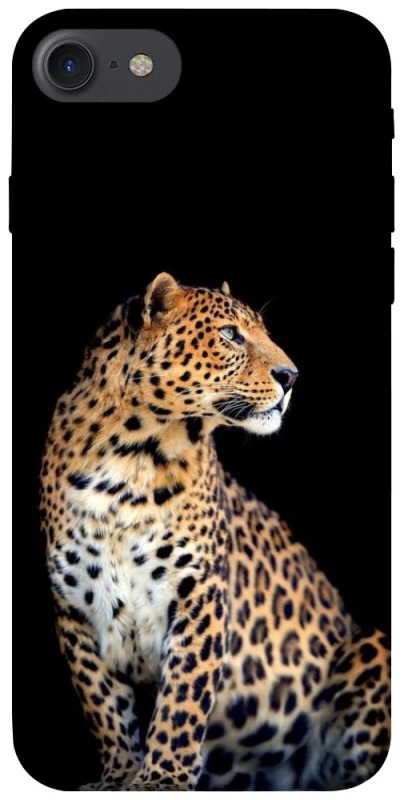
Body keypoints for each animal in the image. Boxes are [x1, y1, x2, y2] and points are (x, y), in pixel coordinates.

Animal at [40, 273, 391, 791]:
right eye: (230, 335)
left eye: (263, 332)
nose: (291, 376)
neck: (130, 459)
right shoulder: (74, 607)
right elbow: (103, 702)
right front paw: (119, 775)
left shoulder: (199, 593)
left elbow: (183, 698)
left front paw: (161, 778)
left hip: (372, 647)